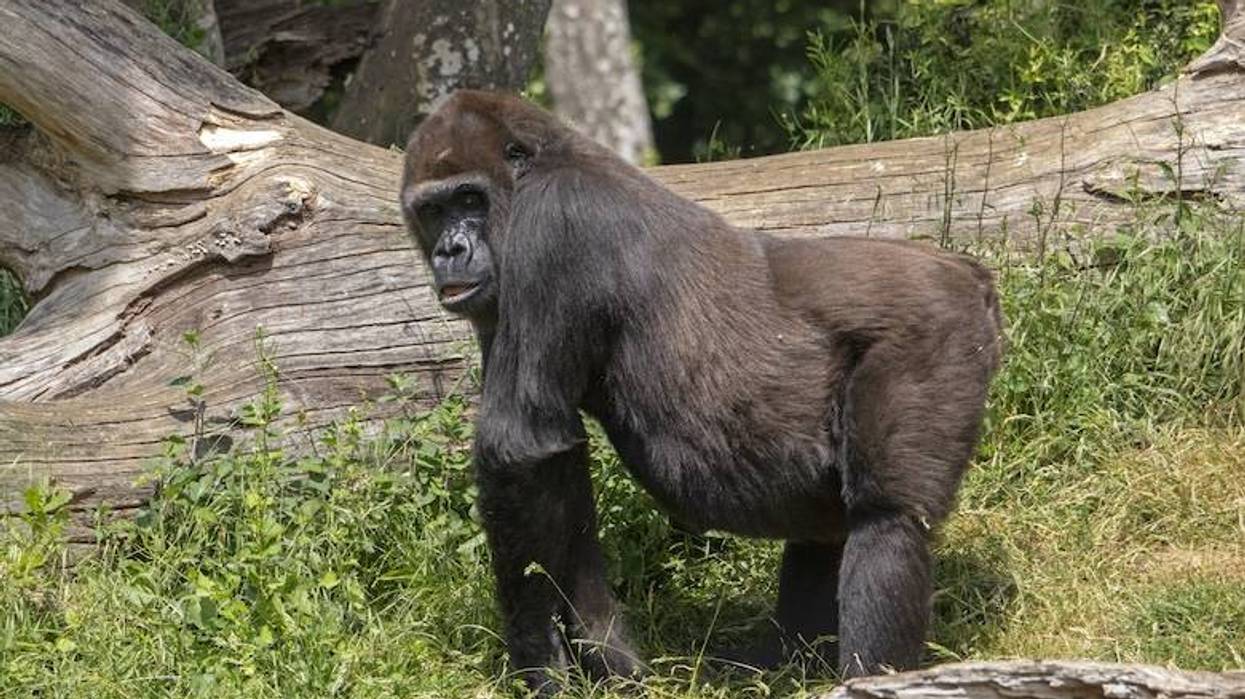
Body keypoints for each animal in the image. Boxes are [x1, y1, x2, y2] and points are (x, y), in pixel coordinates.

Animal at [400, 90, 1003, 694]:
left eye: (470, 199)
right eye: (434, 211)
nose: (450, 251)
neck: (540, 166)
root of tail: (969, 272)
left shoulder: (552, 226)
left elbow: (518, 447)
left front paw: (538, 661)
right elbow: (554, 473)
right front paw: (605, 654)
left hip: (937, 331)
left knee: (888, 521)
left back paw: (871, 673)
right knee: (829, 525)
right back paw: (793, 661)